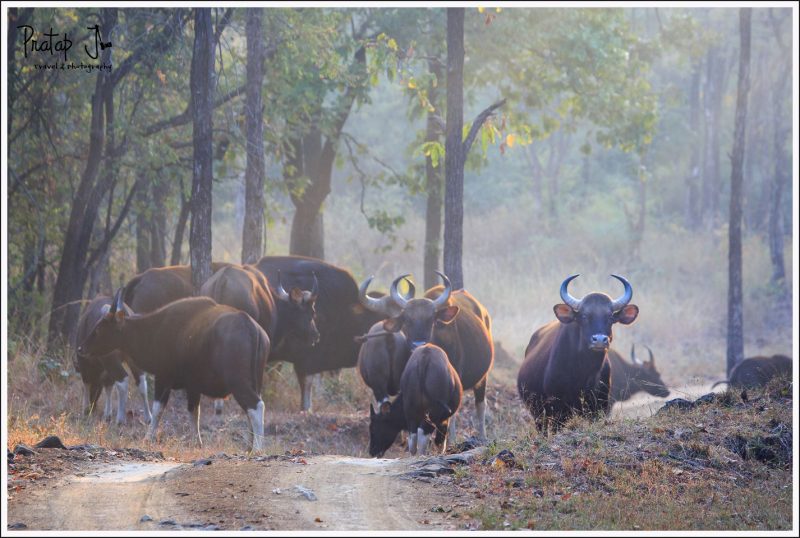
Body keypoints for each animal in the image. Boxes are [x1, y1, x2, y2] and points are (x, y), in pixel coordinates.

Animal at [74, 294, 152, 422]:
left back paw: (120, 419)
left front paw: (85, 410)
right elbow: (108, 385)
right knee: (141, 382)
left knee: (123, 380)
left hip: (109, 358)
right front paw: (107, 413)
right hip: (133, 358)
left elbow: (86, 383)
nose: (93, 405)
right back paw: (148, 417)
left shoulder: (84, 363)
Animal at [520, 274, 636, 430]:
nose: (600, 340)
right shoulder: (557, 409)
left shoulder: (598, 407)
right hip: (538, 413)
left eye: (611, 317)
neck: (583, 373)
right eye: (584, 316)